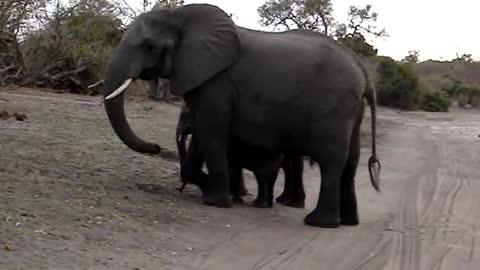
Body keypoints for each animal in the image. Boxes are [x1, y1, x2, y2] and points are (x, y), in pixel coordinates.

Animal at [103, 4, 380, 228]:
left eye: (150, 47)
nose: (156, 146)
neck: (182, 15)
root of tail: (364, 74)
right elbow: (203, 136)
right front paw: (219, 193)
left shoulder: (218, 82)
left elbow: (211, 132)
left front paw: (217, 201)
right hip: (353, 110)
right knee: (351, 162)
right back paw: (348, 222)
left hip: (335, 107)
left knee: (331, 160)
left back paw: (318, 222)